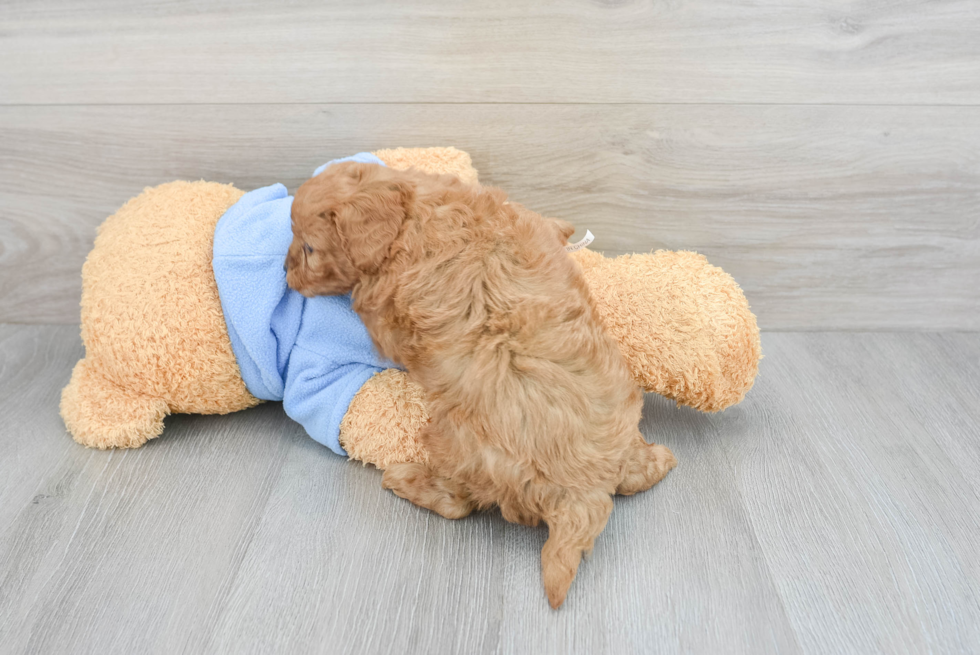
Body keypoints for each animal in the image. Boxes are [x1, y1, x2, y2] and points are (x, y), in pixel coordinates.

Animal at [288, 163, 676, 608]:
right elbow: (544, 224)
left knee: (458, 503)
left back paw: (405, 480)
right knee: (634, 471)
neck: (412, 213)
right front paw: (564, 228)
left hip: (456, 446)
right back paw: (659, 460)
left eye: (309, 248)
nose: (285, 271)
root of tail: (580, 492)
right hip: (621, 425)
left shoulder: (384, 313)